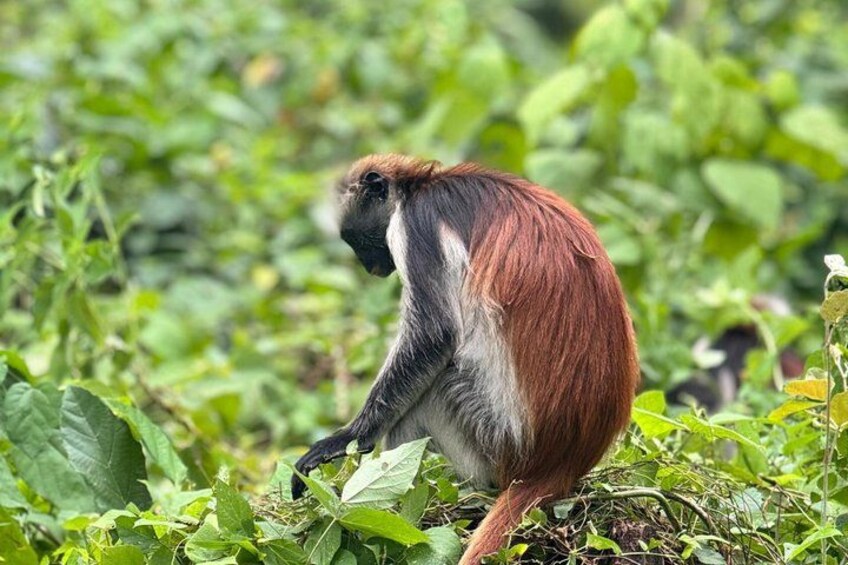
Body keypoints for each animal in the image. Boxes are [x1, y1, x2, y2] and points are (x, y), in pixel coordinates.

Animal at [291, 154, 639, 564]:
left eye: (358, 240)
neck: (420, 186)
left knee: (433, 387)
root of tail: (561, 462)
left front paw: (350, 437)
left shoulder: (418, 225)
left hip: (495, 440)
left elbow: (434, 336)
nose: (371, 268)